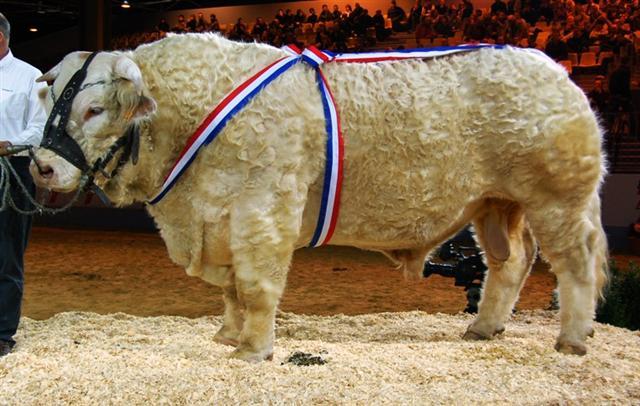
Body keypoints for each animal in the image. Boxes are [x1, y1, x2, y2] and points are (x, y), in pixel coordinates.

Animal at [31, 32, 608, 362]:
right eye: (50, 101)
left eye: (93, 110)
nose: (42, 165)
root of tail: (556, 73)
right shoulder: (220, 217)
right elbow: (232, 290)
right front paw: (227, 336)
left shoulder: (262, 211)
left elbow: (257, 287)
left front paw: (253, 351)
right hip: (495, 204)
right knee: (510, 264)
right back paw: (484, 329)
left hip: (558, 201)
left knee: (575, 266)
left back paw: (572, 340)